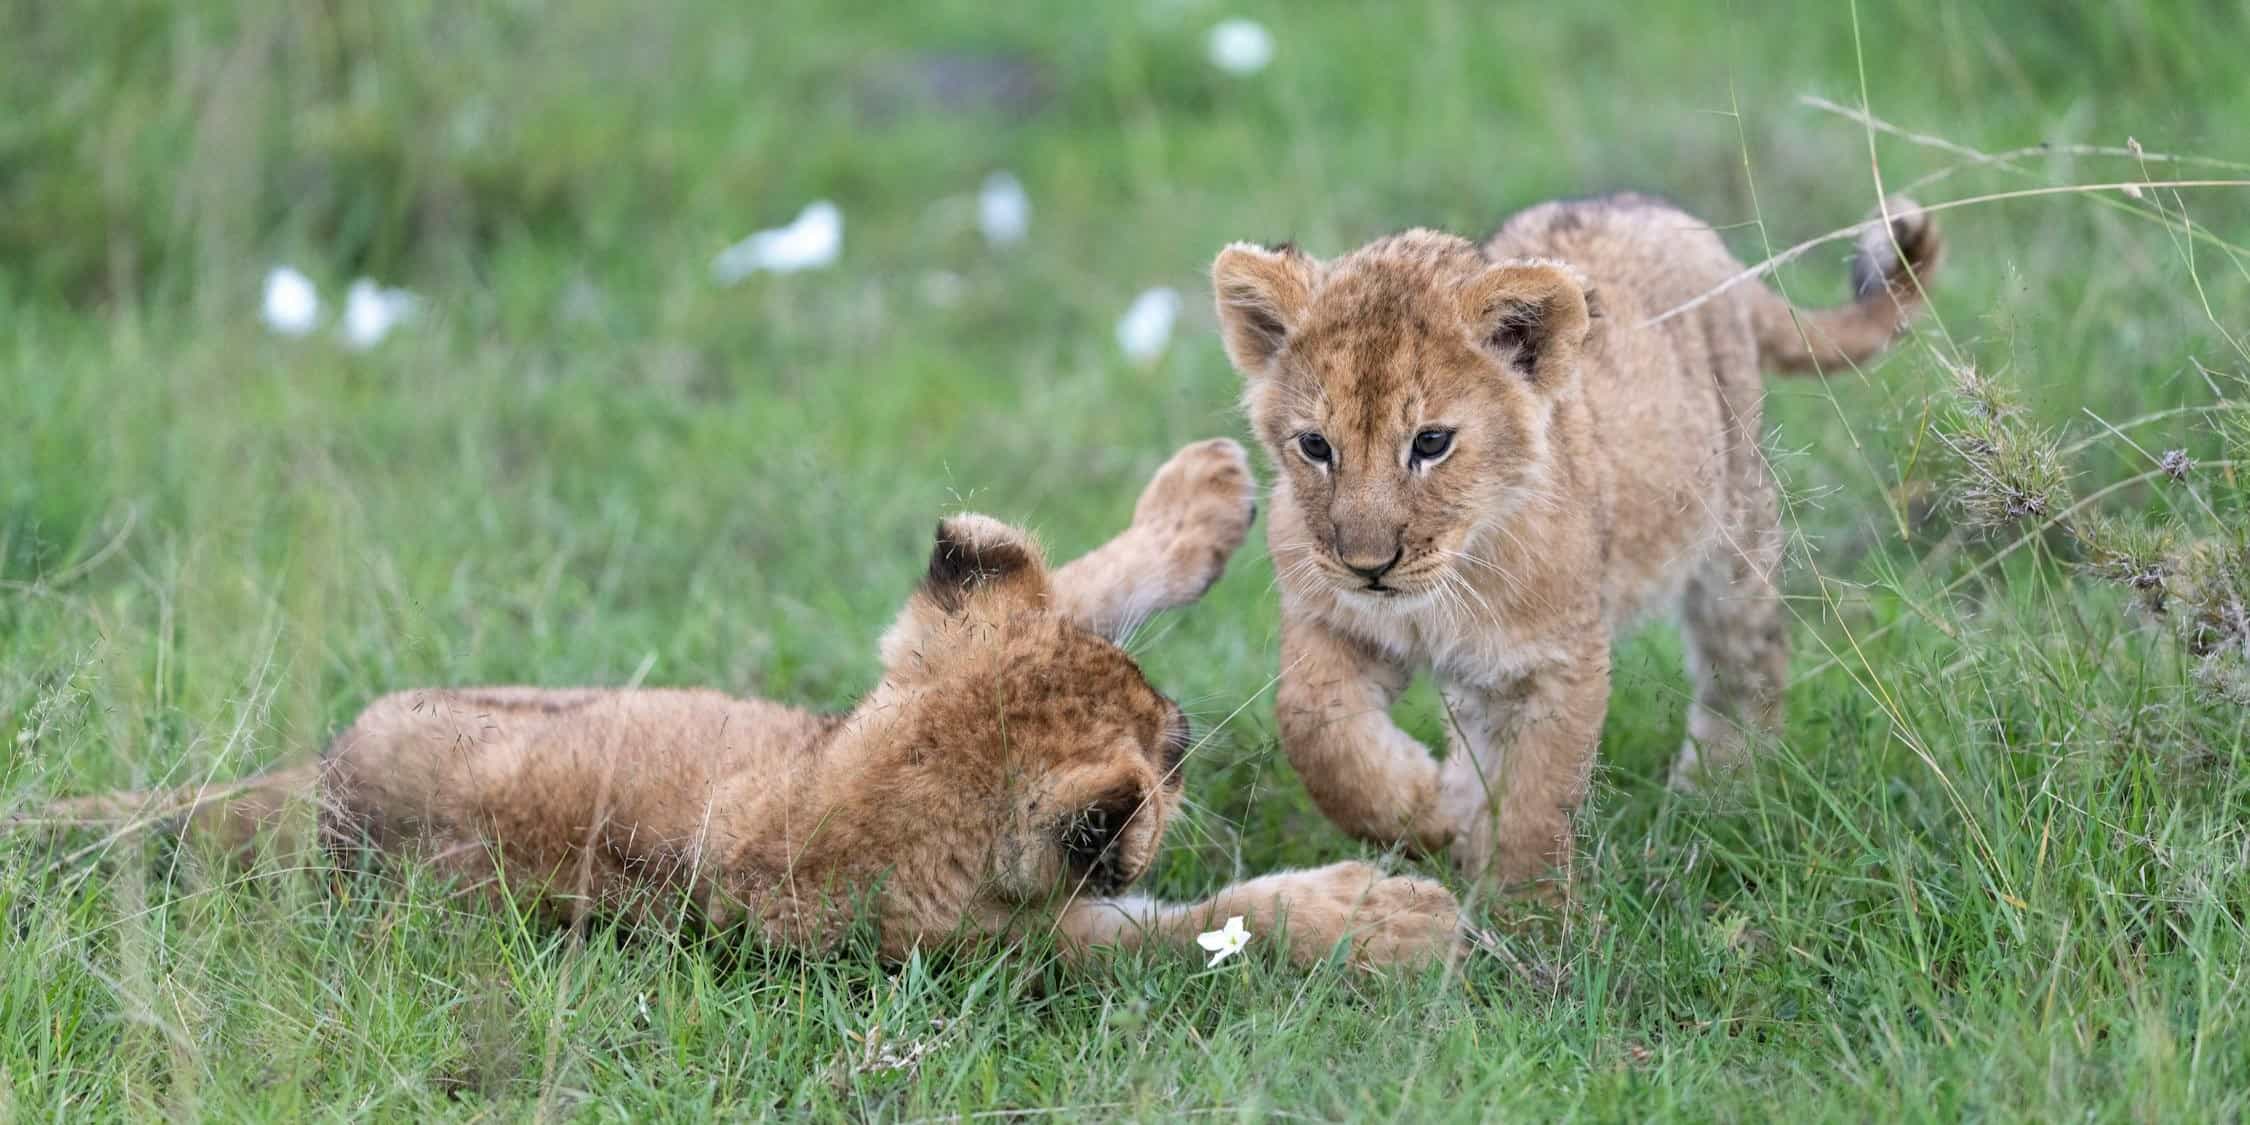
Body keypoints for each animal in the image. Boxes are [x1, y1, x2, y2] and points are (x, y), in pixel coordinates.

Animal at [9, 440, 1461, 970]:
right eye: (1172, 752)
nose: (1184, 743)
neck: (877, 781)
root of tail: (305, 791)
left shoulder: (897, 665)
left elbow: (1073, 591)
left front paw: (1198, 497)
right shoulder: (1032, 949)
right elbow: (1214, 927)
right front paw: (1385, 920)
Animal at [1209, 193, 1940, 890]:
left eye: (1431, 442)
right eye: (1315, 446)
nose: (1368, 567)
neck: (1448, 580)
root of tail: (1690, 231)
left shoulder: (1558, 663)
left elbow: (1535, 809)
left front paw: (1523, 915)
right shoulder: (1328, 615)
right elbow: (1314, 727)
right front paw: (1427, 812)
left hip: (1734, 529)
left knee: (1747, 661)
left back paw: (1719, 789)